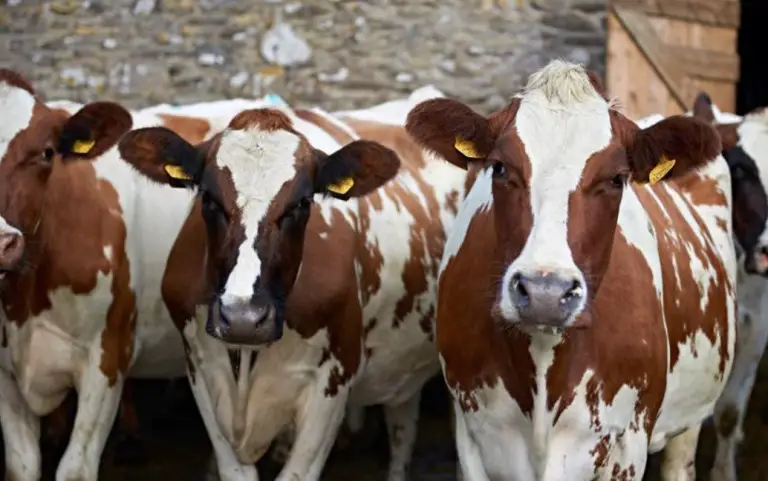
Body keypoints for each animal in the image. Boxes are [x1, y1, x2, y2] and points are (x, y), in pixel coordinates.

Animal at [115, 91, 468, 480]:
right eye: (207, 197)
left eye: (301, 203)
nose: (242, 317)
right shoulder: (201, 371)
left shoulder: (332, 383)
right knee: (402, 423)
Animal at [404, 60, 736, 480]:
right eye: (500, 168)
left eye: (616, 179)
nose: (545, 292)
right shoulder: (472, 436)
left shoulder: (627, 444)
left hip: (690, 416)